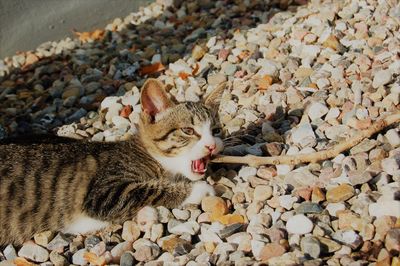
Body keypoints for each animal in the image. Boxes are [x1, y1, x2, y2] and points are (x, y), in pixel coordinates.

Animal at [0, 79, 225, 245]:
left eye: (216, 130)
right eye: (188, 131)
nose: (211, 145)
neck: (152, 157)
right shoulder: (103, 193)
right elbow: (148, 190)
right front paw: (198, 189)